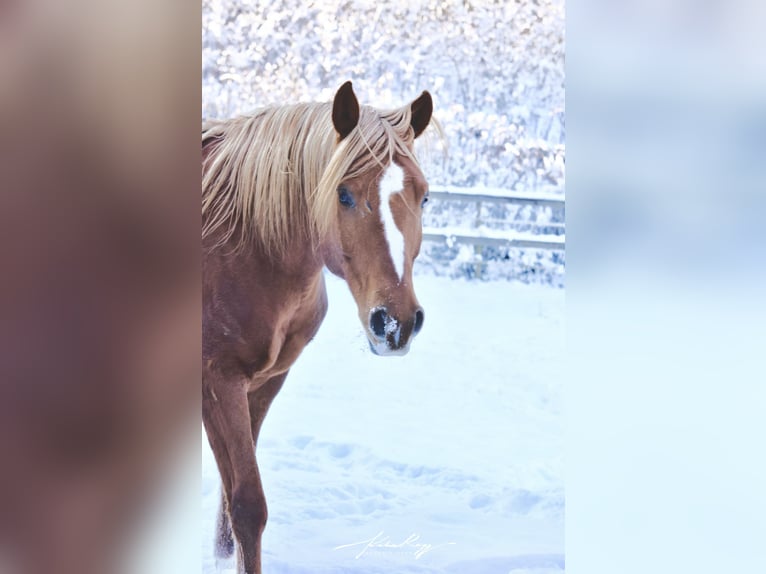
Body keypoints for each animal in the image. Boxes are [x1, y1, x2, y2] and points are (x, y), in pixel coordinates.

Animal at [202, 81, 435, 573]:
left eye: (423, 196)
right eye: (343, 194)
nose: (396, 323)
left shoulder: (265, 382)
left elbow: (230, 511)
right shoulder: (216, 381)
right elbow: (246, 505)